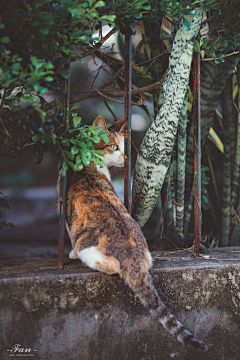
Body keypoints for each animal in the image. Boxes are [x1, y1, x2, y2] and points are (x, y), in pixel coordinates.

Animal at [56, 116, 208, 352]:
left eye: (123, 146)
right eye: (114, 147)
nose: (125, 157)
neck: (84, 159)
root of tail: (132, 256)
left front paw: (68, 253)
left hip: (88, 248)